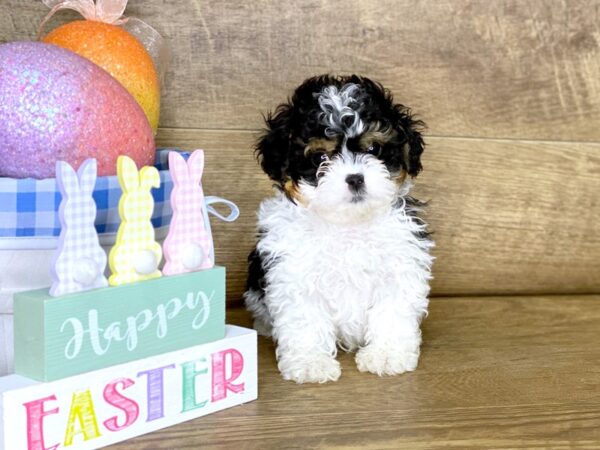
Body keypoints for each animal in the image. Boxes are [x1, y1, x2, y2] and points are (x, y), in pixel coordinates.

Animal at [246, 74, 434, 384]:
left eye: (373, 149)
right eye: (320, 159)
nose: (355, 178)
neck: (347, 224)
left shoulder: (399, 268)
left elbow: (392, 312)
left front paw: (386, 354)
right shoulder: (294, 274)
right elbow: (305, 319)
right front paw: (311, 363)